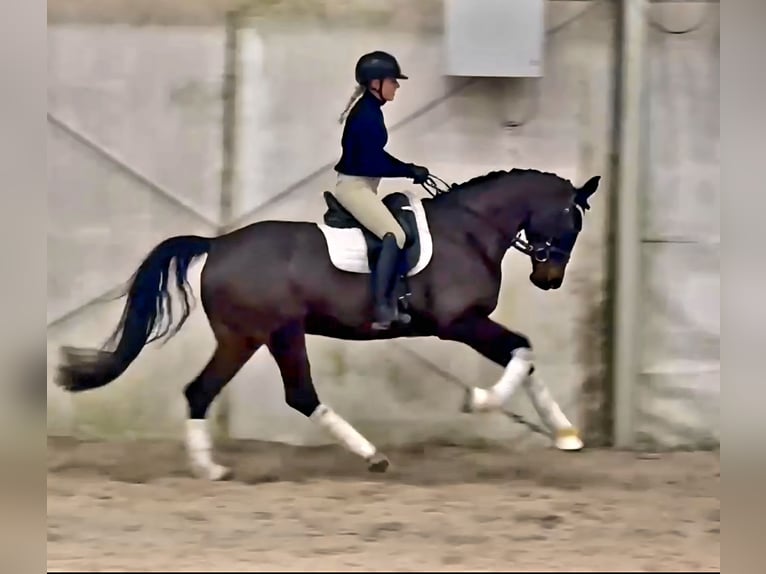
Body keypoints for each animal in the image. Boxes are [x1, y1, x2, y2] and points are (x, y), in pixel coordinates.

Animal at [55, 168, 601, 480]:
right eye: (571, 221)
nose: (549, 279)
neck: (469, 230)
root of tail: (219, 245)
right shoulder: (460, 322)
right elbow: (523, 350)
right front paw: (480, 400)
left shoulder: (470, 324)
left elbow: (525, 357)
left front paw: (565, 433)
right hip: (264, 335)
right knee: (262, 393)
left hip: (259, 336)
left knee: (238, 393)